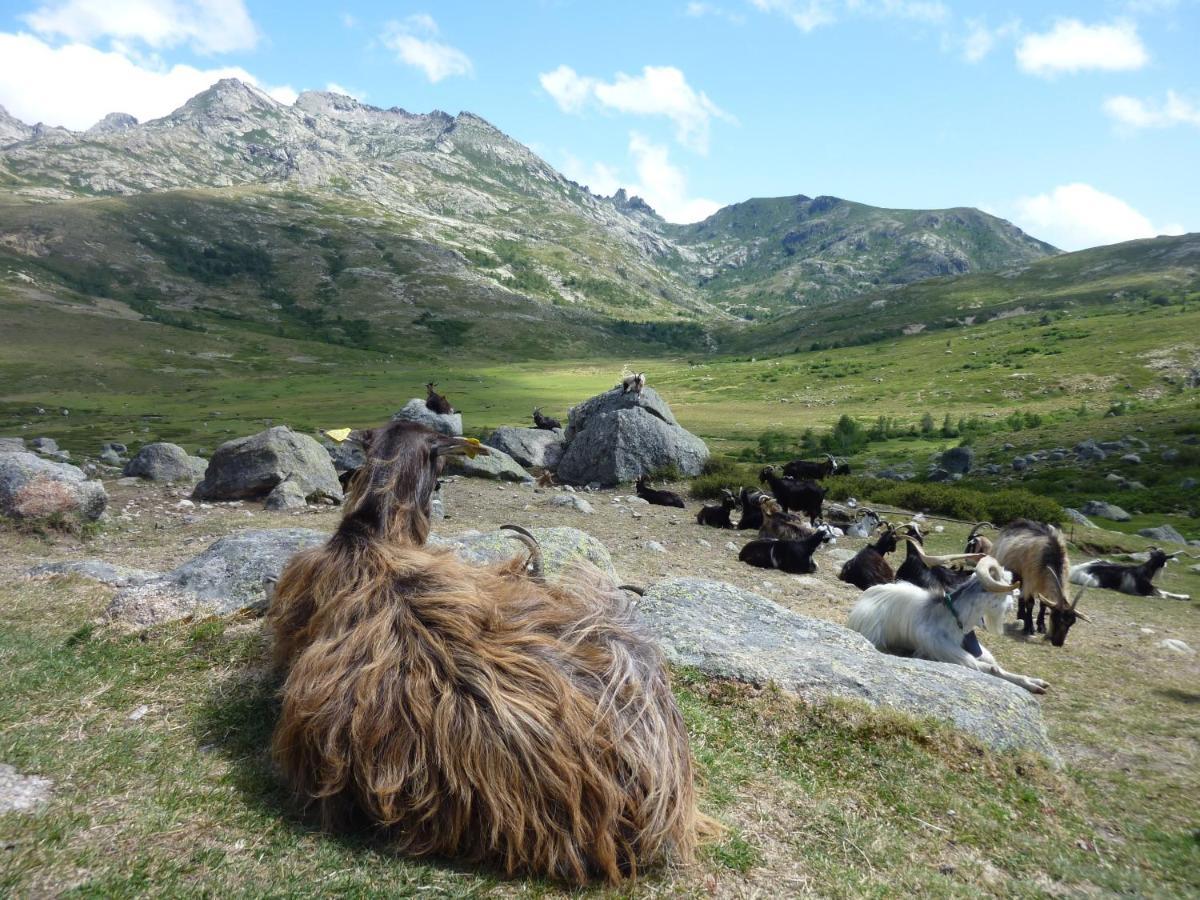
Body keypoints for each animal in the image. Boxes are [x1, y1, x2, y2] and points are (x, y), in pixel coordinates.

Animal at [844, 556, 1051, 696]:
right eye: (1006, 585)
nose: (1011, 606)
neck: (952, 618)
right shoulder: (952, 655)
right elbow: (992, 669)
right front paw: (1031, 684)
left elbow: (995, 665)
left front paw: (1035, 681)